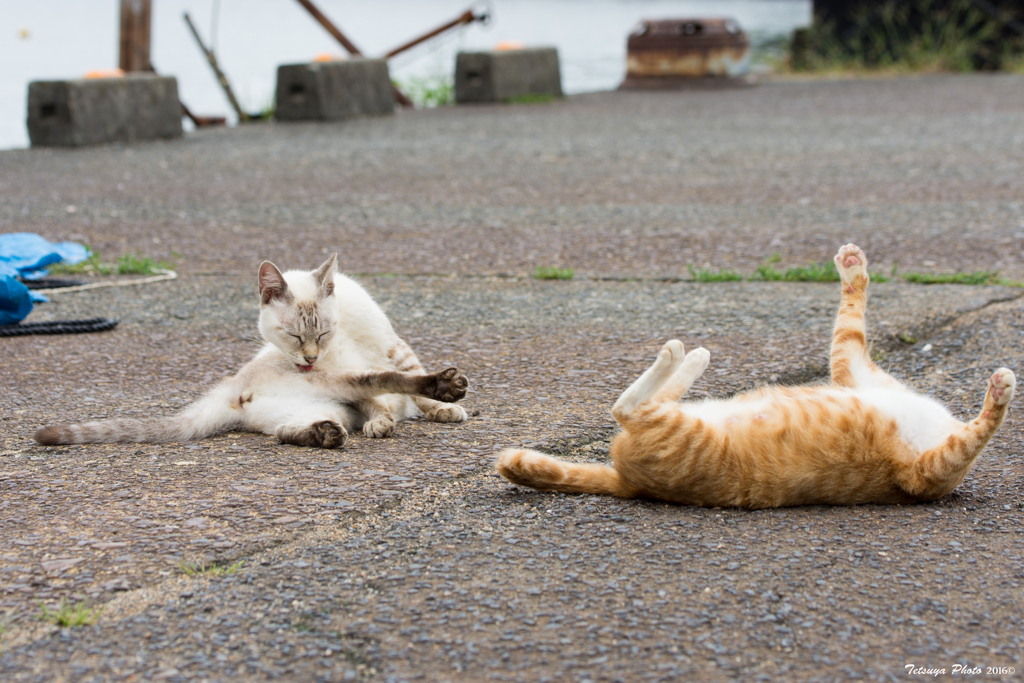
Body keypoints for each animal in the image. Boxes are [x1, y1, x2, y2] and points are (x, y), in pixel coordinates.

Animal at [35, 254, 468, 448]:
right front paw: (430, 404)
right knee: (386, 381)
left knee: (286, 432)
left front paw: (438, 412)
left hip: (329, 406)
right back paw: (444, 387)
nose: (310, 359)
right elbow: (394, 387)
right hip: (340, 387)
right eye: (292, 337)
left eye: (323, 332)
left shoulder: (391, 347)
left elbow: (405, 389)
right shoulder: (361, 376)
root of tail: (233, 387)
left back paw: (323, 434)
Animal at [497, 245, 1015, 507]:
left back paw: (687, 355)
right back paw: (684, 355)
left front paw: (999, 391)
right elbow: (850, 320)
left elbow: (974, 434)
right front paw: (853, 270)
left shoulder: (920, 474)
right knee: (627, 405)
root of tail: (631, 482)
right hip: (675, 428)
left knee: (632, 407)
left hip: (679, 433)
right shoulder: (857, 372)